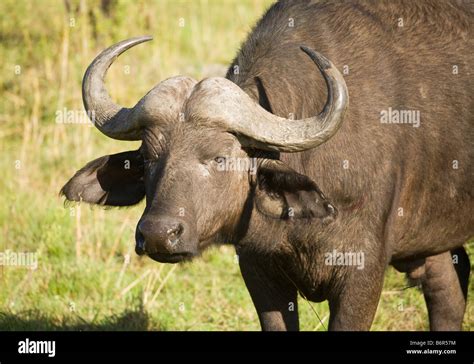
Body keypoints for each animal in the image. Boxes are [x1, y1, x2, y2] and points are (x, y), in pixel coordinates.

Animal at [62, 0, 470, 330]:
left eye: (220, 157)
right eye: (148, 159)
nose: (159, 234)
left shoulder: (362, 274)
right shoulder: (258, 271)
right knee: (449, 290)